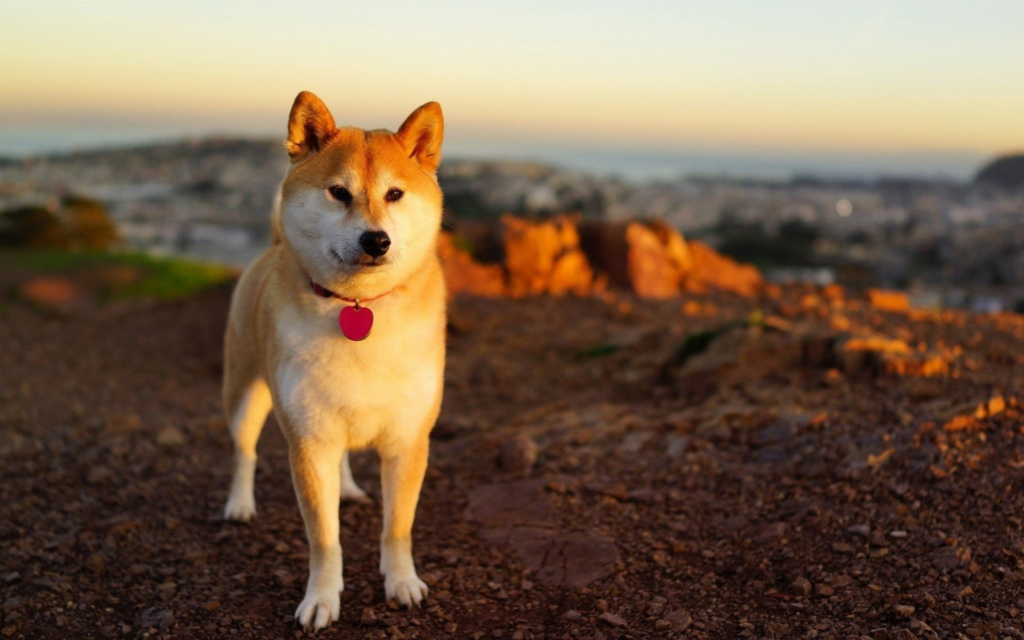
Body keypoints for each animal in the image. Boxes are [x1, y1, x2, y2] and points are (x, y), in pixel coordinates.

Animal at [220, 90, 444, 630]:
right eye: (338, 193)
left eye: (394, 194)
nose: (376, 240)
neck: (358, 307)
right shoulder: (309, 442)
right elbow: (325, 538)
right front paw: (321, 599)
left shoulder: (408, 440)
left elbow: (398, 528)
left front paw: (402, 583)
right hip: (244, 395)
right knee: (244, 452)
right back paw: (239, 503)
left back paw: (346, 488)